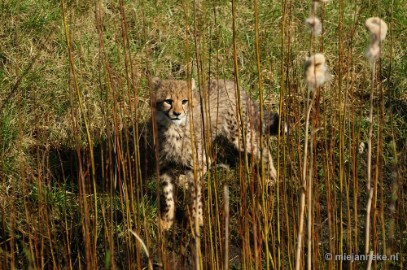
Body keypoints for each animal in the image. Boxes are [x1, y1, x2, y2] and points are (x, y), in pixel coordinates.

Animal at [151, 77, 280, 232]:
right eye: (168, 101)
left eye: (184, 101)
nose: (177, 114)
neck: (173, 129)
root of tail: (230, 83)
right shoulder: (164, 166)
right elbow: (168, 196)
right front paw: (167, 220)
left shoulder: (193, 163)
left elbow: (195, 195)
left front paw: (196, 220)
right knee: (209, 160)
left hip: (238, 135)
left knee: (261, 147)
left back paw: (271, 177)